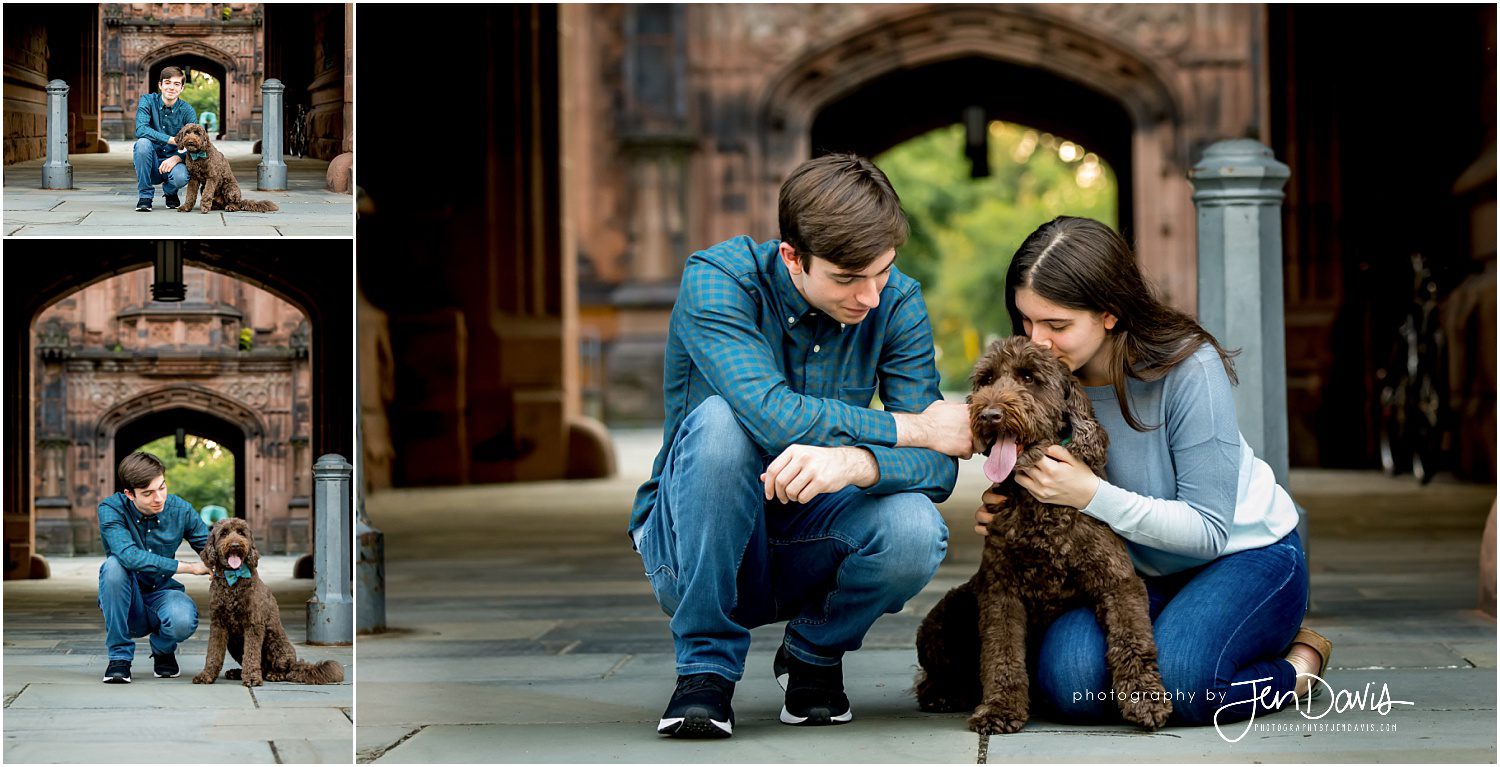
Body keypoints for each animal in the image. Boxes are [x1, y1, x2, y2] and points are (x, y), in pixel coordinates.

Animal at [192, 519, 343, 687]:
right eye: (224, 533)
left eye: (241, 533)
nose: (235, 545)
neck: (234, 578)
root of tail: (295, 663)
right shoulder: (218, 625)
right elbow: (213, 653)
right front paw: (206, 675)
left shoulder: (253, 624)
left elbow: (251, 654)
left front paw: (252, 678)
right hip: (234, 643)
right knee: (261, 667)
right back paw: (237, 673)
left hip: (275, 642)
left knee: (283, 670)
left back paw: (274, 674)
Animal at [912, 339, 1170, 735]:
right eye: (987, 380)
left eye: (1029, 378)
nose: (989, 415)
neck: (1040, 510)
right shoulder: (1000, 590)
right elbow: (1001, 653)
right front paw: (1000, 708)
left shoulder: (1118, 581)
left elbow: (1132, 638)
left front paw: (1145, 699)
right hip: (942, 617)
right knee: (933, 676)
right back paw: (945, 694)